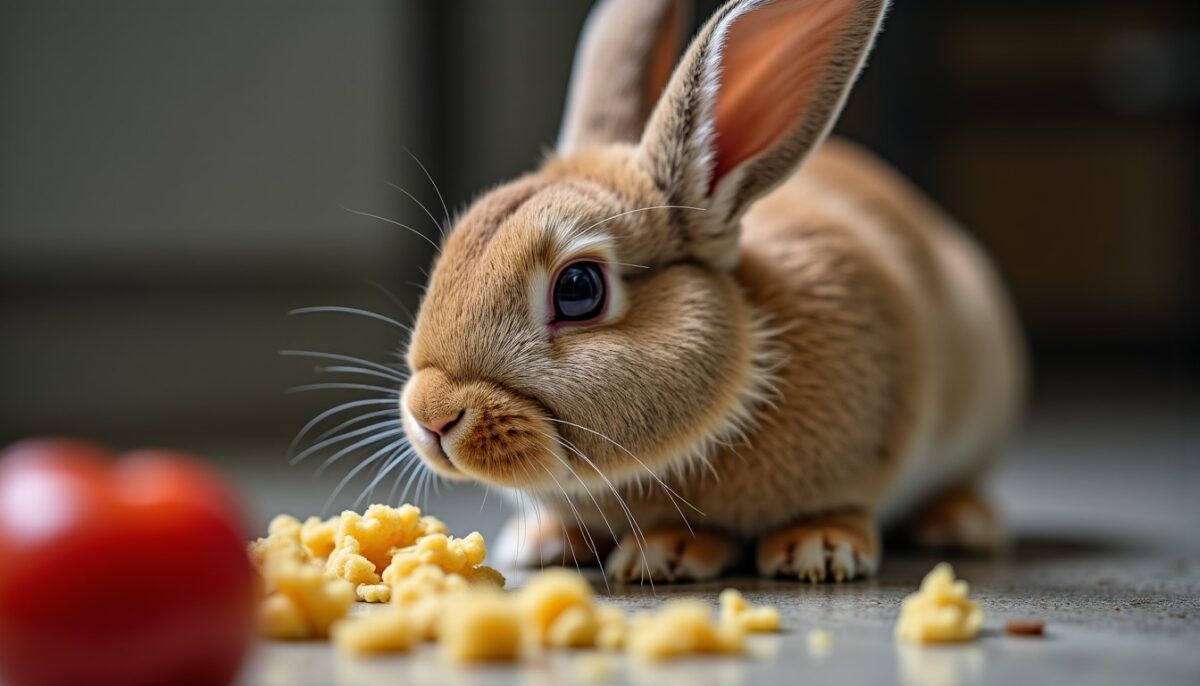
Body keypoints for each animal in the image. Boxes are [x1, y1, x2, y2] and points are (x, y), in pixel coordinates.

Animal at [399, 0, 1025, 583]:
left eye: (578, 289)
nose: (432, 417)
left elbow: (839, 507)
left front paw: (808, 550)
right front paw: (548, 543)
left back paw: (959, 523)